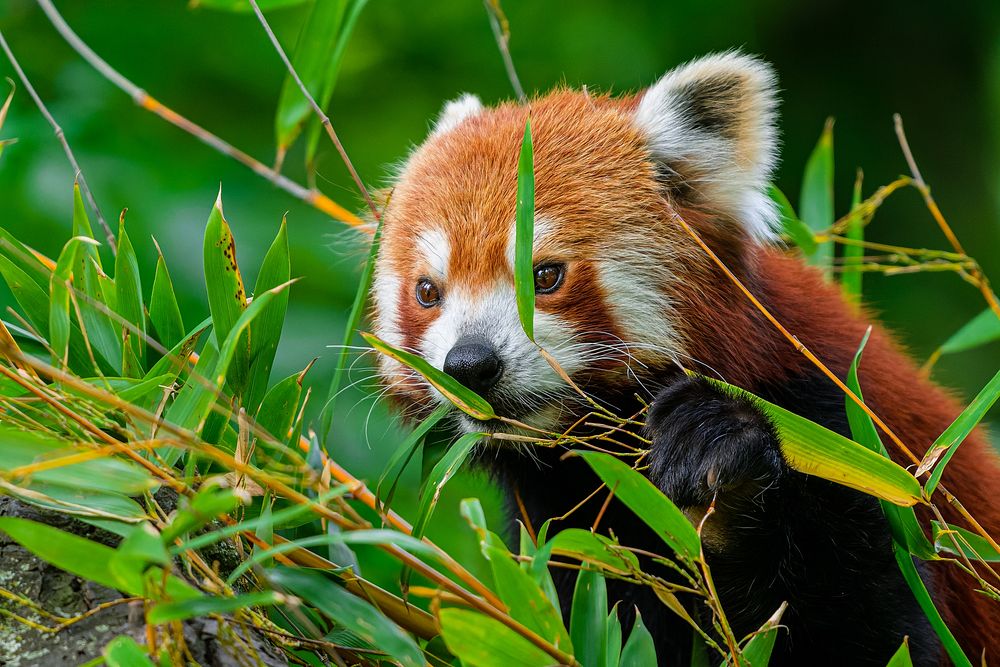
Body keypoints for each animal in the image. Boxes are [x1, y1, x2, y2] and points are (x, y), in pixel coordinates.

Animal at [370, 52, 1000, 667]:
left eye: (544, 276)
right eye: (427, 292)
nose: (469, 365)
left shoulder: (850, 449)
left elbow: (880, 633)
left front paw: (719, 463)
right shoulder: (561, 529)